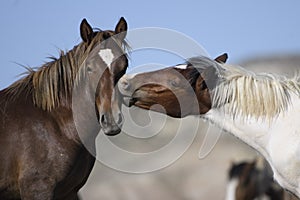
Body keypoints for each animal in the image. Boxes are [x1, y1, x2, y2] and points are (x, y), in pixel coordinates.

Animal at [0, 17, 129, 200]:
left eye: (124, 66)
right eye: (89, 68)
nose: (111, 121)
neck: (55, 122)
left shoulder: (69, 192)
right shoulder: (38, 189)